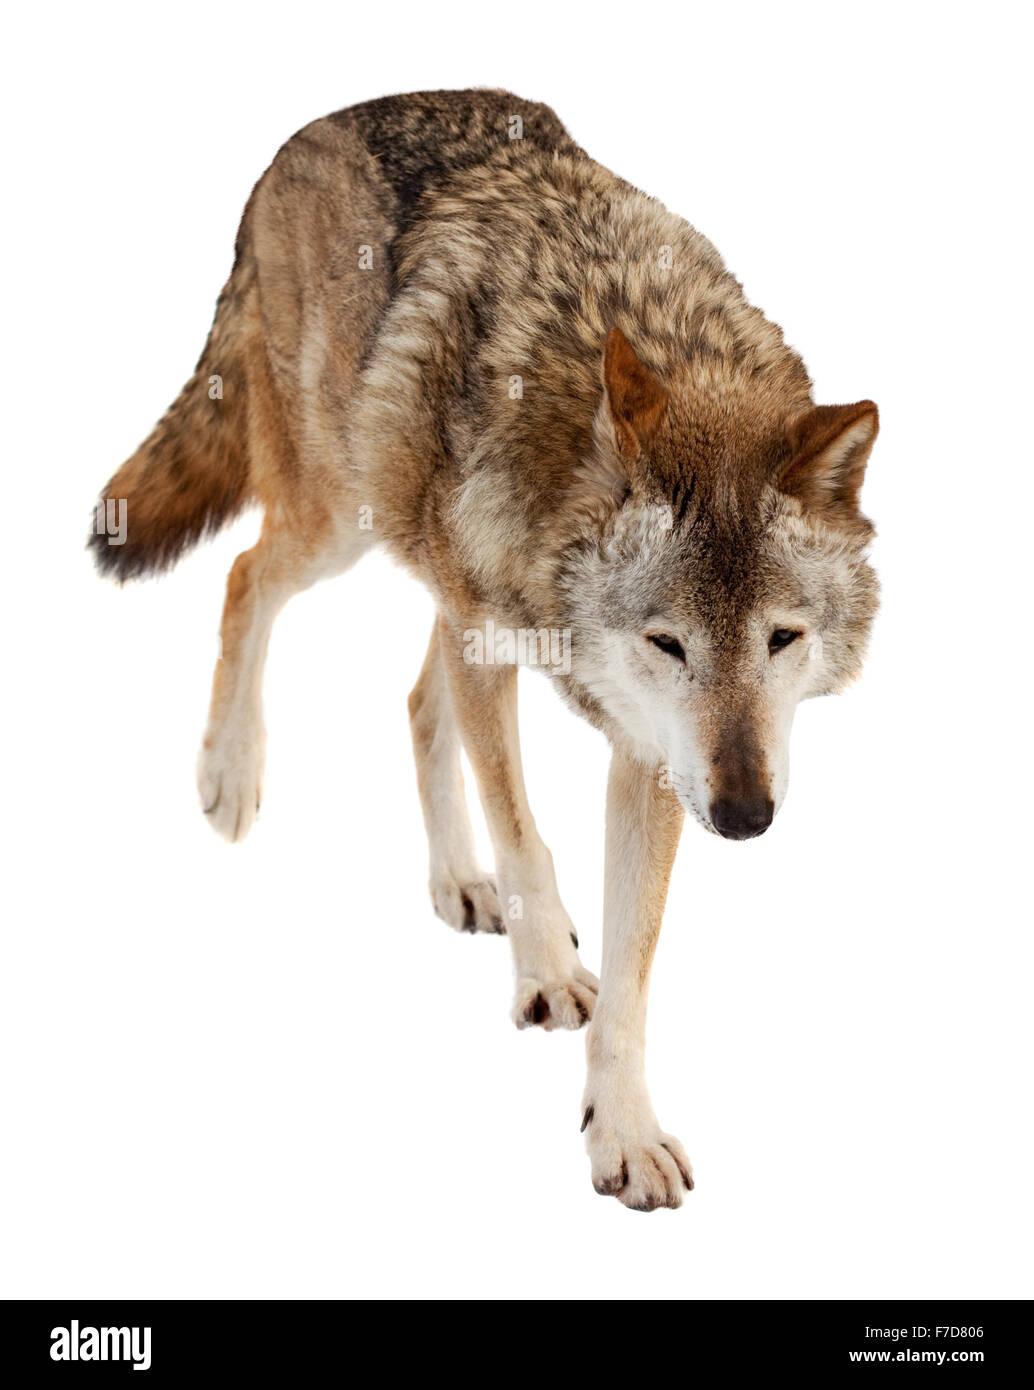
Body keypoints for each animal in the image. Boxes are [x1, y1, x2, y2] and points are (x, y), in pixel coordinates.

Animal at [91, 89, 879, 1210]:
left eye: (782, 638)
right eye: (667, 641)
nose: (743, 816)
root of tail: (304, 135)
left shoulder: (649, 754)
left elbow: (633, 973)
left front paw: (621, 1132)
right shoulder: (509, 648)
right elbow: (528, 839)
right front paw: (544, 973)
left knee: (416, 701)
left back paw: (456, 883)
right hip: (339, 521)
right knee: (247, 577)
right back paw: (230, 775)